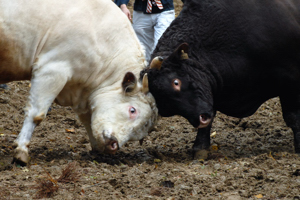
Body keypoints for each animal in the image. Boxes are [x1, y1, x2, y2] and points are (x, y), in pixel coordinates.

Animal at [0, 0, 158, 164]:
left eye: (142, 131)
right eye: (132, 110)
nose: (114, 144)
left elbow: (87, 119)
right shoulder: (51, 70)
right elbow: (36, 114)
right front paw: (21, 150)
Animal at [141, 0, 300, 159]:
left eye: (176, 82)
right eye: (165, 104)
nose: (201, 119)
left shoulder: (291, 79)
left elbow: (293, 117)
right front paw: (200, 148)